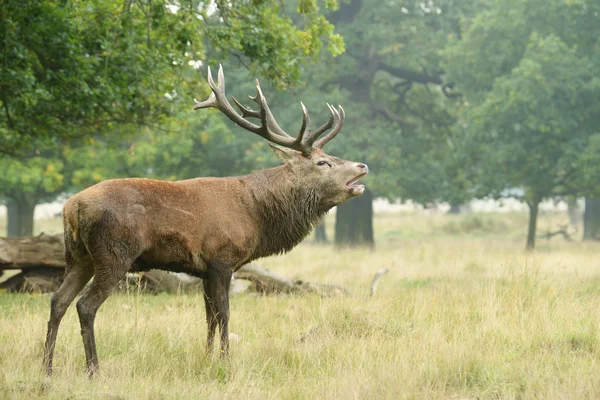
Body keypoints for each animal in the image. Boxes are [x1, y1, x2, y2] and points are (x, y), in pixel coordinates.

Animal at [42, 65, 368, 376]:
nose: (362, 165)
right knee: (85, 305)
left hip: (78, 256)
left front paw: (207, 357)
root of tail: (71, 208)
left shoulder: (203, 270)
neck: (256, 216)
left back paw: (47, 368)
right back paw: (93, 369)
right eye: (323, 162)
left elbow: (208, 314)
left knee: (58, 300)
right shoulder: (222, 259)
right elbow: (224, 312)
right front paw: (226, 360)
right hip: (114, 253)